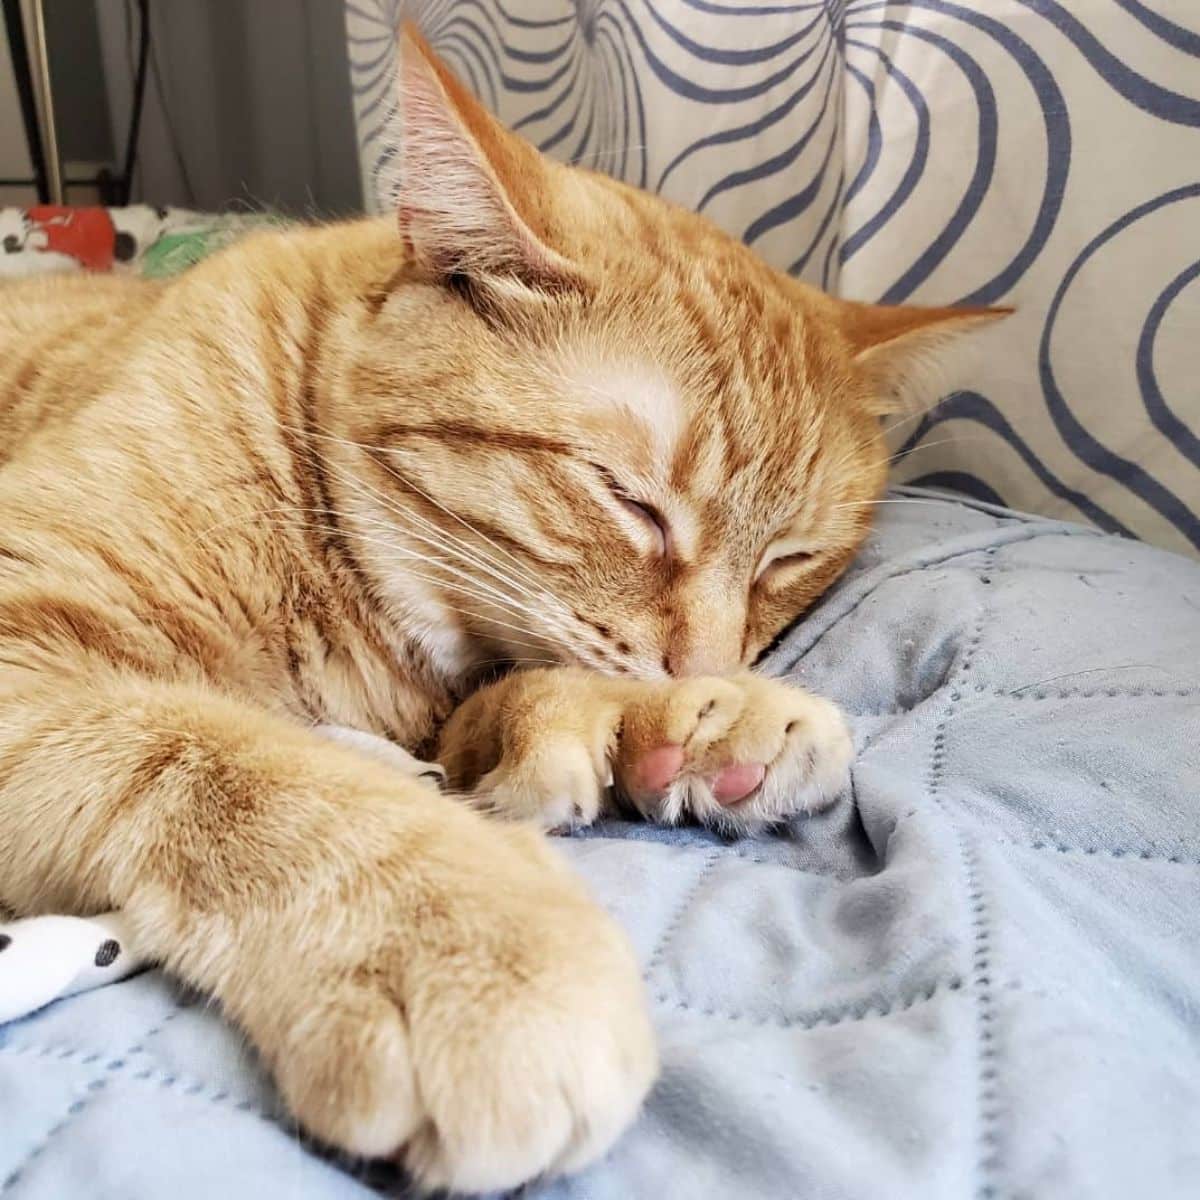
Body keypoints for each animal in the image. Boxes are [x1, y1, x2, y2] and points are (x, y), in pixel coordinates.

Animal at [0, 25, 998, 1190]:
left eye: (790, 560)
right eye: (630, 500)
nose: (704, 667)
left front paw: (686, 726)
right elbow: (249, 769)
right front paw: (469, 945)